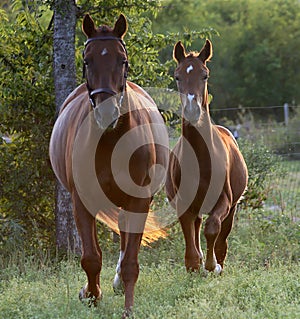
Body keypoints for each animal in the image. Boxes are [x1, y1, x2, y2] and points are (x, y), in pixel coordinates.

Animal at [49, 13, 169, 318]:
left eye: (122, 60)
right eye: (87, 60)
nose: (107, 113)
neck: (112, 138)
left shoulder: (139, 199)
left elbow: (130, 263)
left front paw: (128, 308)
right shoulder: (82, 201)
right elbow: (91, 258)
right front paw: (90, 295)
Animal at [165, 40, 247, 276]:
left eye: (205, 75)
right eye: (177, 76)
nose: (192, 110)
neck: (201, 159)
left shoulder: (224, 201)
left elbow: (212, 228)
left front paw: (212, 265)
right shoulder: (184, 202)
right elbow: (188, 232)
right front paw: (194, 264)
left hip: (232, 206)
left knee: (222, 233)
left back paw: (218, 261)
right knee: (196, 225)